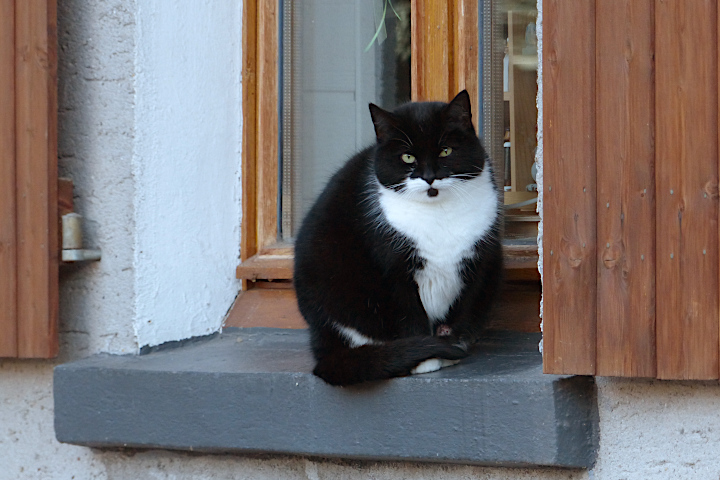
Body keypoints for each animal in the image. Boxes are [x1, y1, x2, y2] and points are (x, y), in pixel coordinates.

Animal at [292, 90, 500, 384]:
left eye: (446, 150)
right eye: (408, 158)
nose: (429, 177)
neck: (438, 213)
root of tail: (322, 344)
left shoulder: (476, 263)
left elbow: (462, 310)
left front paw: (451, 345)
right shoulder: (394, 269)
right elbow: (410, 317)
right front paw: (426, 358)